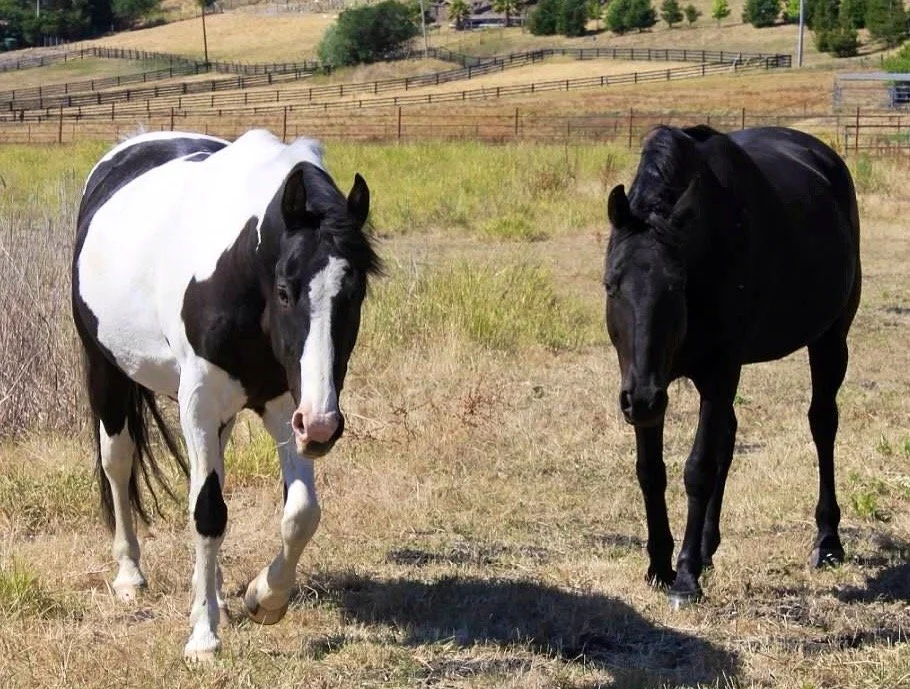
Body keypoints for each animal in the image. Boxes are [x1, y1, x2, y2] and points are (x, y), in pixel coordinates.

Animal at [71, 129, 381, 659]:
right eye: (285, 290)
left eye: (356, 293)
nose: (322, 425)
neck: (241, 271)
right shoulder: (199, 397)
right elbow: (208, 512)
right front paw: (203, 638)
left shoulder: (283, 404)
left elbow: (301, 513)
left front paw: (263, 598)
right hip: (107, 372)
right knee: (118, 463)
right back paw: (131, 576)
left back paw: (213, 594)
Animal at [603, 125, 861, 608]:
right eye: (612, 285)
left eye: (677, 286)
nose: (641, 401)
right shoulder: (648, 381)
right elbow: (652, 472)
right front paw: (659, 566)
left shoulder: (718, 373)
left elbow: (699, 468)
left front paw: (685, 578)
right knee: (729, 436)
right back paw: (708, 547)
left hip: (830, 340)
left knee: (823, 424)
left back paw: (827, 542)